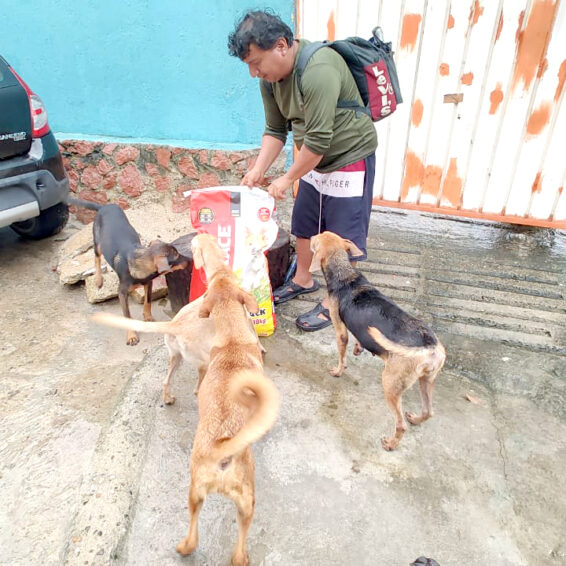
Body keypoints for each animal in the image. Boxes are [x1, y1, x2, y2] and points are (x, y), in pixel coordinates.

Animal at [70, 199, 189, 345]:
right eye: (176, 257)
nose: (190, 260)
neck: (138, 261)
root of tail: (104, 206)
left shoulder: (148, 283)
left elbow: (147, 301)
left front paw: (148, 317)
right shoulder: (121, 293)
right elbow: (127, 315)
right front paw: (131, 336)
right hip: (97, 242)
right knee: (97, 258)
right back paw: (98, 279)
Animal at [92, 233, 263, 403]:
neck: (219, 274)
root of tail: (174, 324)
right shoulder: (248, 317)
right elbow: (255, 335)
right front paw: (261, 348)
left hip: (176, 356)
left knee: (166, 381)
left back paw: (168, 399)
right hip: (204, 362)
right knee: (197, 390)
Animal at [176, 268, 279, 566]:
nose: (221, 271)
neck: (232, 338)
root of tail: (222, 449)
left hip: (196, 494)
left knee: (195, 538)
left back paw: (184, 548)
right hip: (247, 500)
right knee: (238, 549)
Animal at [309, 231, 446, 451]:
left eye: (318, 237)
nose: (312, 234)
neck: (345, 275)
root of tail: (430, 347)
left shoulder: (340, 329)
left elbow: (341, 356)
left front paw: (338, 371)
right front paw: (358, 349)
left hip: (390, 383)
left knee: (400, 425)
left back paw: (391, 443)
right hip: (426, 380)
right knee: (428, 411)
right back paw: (416, 419)